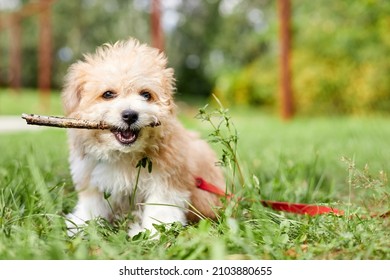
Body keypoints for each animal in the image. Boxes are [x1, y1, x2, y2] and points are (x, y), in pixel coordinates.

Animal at [61, 38, 225, 236]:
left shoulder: (167, 181)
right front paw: (81, 225)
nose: (130, 115)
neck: (124, 155)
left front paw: (154, 233)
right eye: (108, 94)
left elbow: (160, 209)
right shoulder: (92, 179)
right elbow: (91, 205)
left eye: (146, 94)